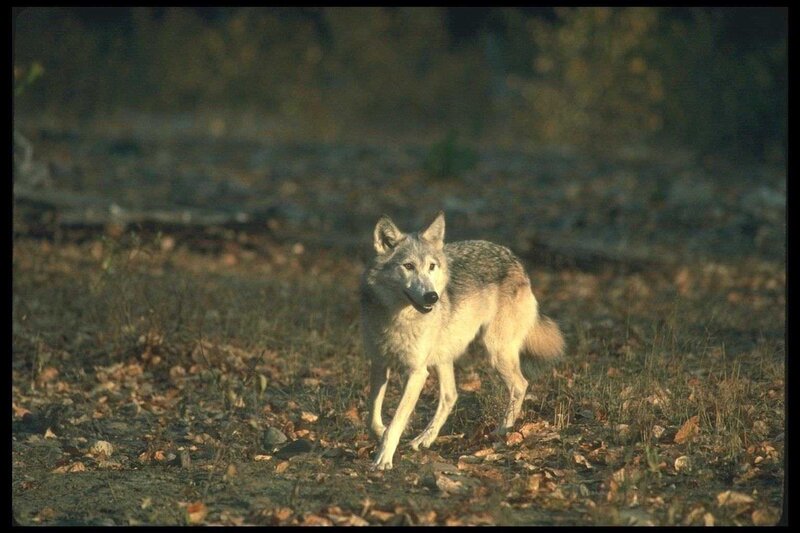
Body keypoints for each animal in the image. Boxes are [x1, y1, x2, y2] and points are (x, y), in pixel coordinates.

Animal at [361, 211, 565, 470]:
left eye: (431, 266)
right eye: (408, 266)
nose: (432, 297)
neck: (397, 318)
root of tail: (514, 258)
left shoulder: (417, 372)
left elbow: (396, 420)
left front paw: (383, 458)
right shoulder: (379, 363)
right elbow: (372, 413)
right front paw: (380, 433)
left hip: (495, 352)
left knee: (520, 385)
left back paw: (502, 432)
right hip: (444, 356)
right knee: (451, 396)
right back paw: (424, 439)